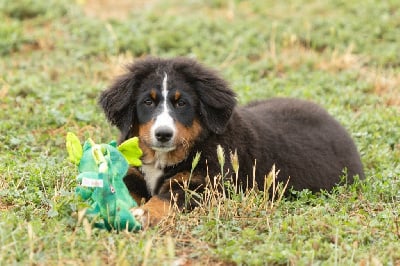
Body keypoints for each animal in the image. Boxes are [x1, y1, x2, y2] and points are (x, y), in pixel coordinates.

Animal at [98, 57, 364, 228]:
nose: (163, 134)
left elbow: (165, 199)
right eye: (148, 102)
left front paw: (143, 214)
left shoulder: (202, 184)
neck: (164, 157)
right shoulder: (133, 174)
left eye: (182, 103)